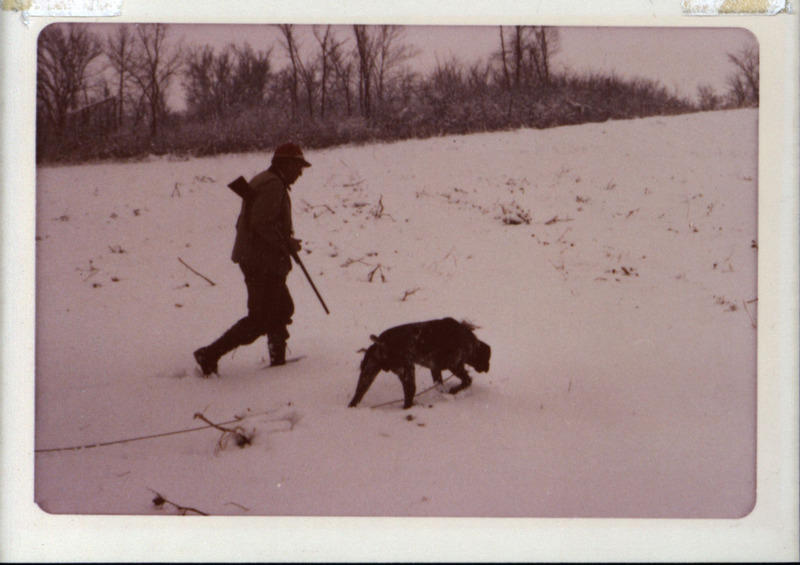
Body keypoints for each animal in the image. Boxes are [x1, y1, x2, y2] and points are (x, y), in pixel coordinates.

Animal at [346, 320, 490, 408]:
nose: (488, 369)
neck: (470, 342)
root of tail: (381, 343)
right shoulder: (455, 366)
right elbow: (467, 381)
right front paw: (454, 390)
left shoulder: (435, 369)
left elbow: (440, 385)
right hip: (407, 371)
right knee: (408, 395)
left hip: (367, 374)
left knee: (357, 396)